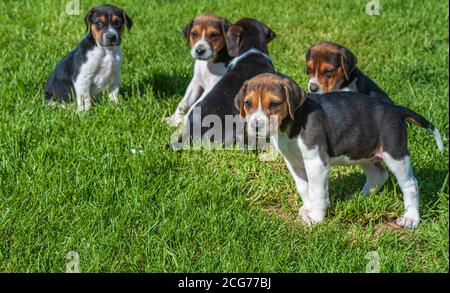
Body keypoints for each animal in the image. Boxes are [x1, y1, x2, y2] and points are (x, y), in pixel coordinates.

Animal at [236, 73, 442, 228]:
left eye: (274, 104)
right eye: (248, 104)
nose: (255, 126)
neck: (290, 124)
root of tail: (396, 109)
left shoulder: (316, 163)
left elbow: (317, 191)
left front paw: (316, 218)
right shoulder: (294, 162)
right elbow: (304, 187)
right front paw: (307, 209)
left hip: (395, 153)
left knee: (410, 184)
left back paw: (411, 218)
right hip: (362, 151)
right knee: (378, 175)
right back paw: (358, 197)